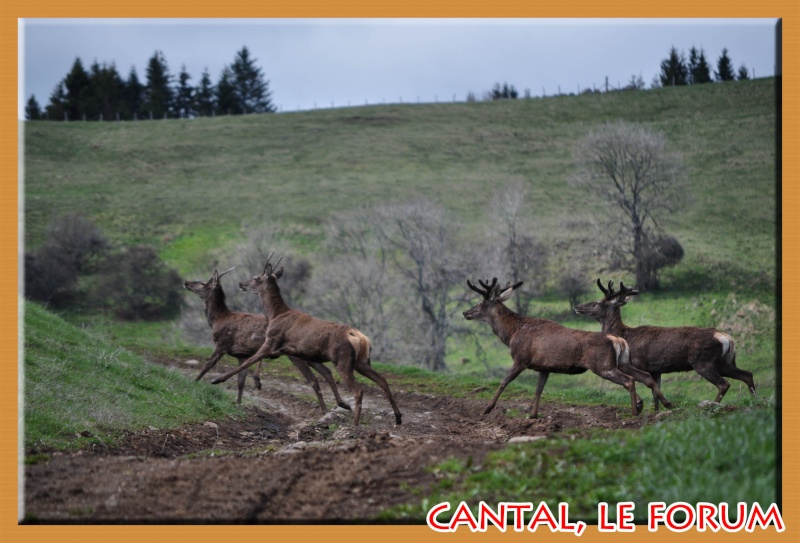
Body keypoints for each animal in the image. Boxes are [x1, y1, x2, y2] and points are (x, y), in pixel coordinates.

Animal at [187, 268, 354, 412]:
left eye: (202, 283)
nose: (186, 282)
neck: (217, 320)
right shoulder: (241, 355)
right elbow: (241, 382)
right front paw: (238, 403)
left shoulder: (222, 343)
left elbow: (207, 366)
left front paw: (193, 383)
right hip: (309, 356)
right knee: (327, 372)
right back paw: (339, 405)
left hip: (295, 355)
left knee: (314, 379)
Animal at [211, 258, 404, 428]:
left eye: (256, 277)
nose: (241, 283)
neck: (275, 314)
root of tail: (359, 337)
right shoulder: (288, 350)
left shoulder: (272, 340)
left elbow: (249, 361)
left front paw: (218, 379)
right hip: (362, 362)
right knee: (382, 379)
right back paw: (398, 417)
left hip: (343, 361)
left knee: (359, 390)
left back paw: (355, 424)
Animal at [462, 278, 676, 418]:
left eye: (480, 302)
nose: (465, 312)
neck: (511, 333)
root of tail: (618, 340)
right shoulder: (544, 367)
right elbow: (538, 390)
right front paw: (533, 415)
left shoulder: (521, 359)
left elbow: (503, 382)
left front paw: (487, 408)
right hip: (622, 362)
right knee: (645, 376)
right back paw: (664, 404)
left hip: (602, 365)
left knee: (629, 381)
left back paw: (634, 412)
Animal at [576, 280, 756, 412]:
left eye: (598, 303)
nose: (578, 307)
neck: (624, 334)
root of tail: (727, 339)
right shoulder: (656, 369)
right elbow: (655, 391)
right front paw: (657, 411)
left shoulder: (637, 363)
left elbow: (647, 384)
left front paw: (666, 405)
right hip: (725, 361)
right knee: (747, 374)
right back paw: (755, 399)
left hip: (703, 361)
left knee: (724, 384)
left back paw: (713, 404)